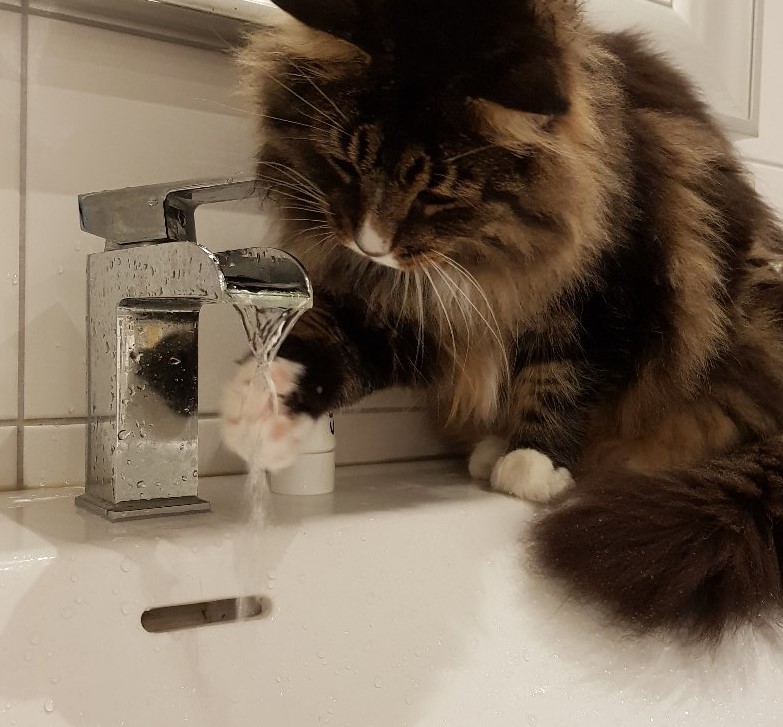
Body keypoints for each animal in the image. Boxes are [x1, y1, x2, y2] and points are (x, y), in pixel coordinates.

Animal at [221, 0, 783, 642]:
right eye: (345, 164)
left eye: (435, 195)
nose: (371, 245)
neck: (491, 252)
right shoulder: (412, 311)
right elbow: (327, 348)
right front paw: (256, 402)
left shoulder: (604, 295)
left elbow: (564, 375)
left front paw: (536, 460)